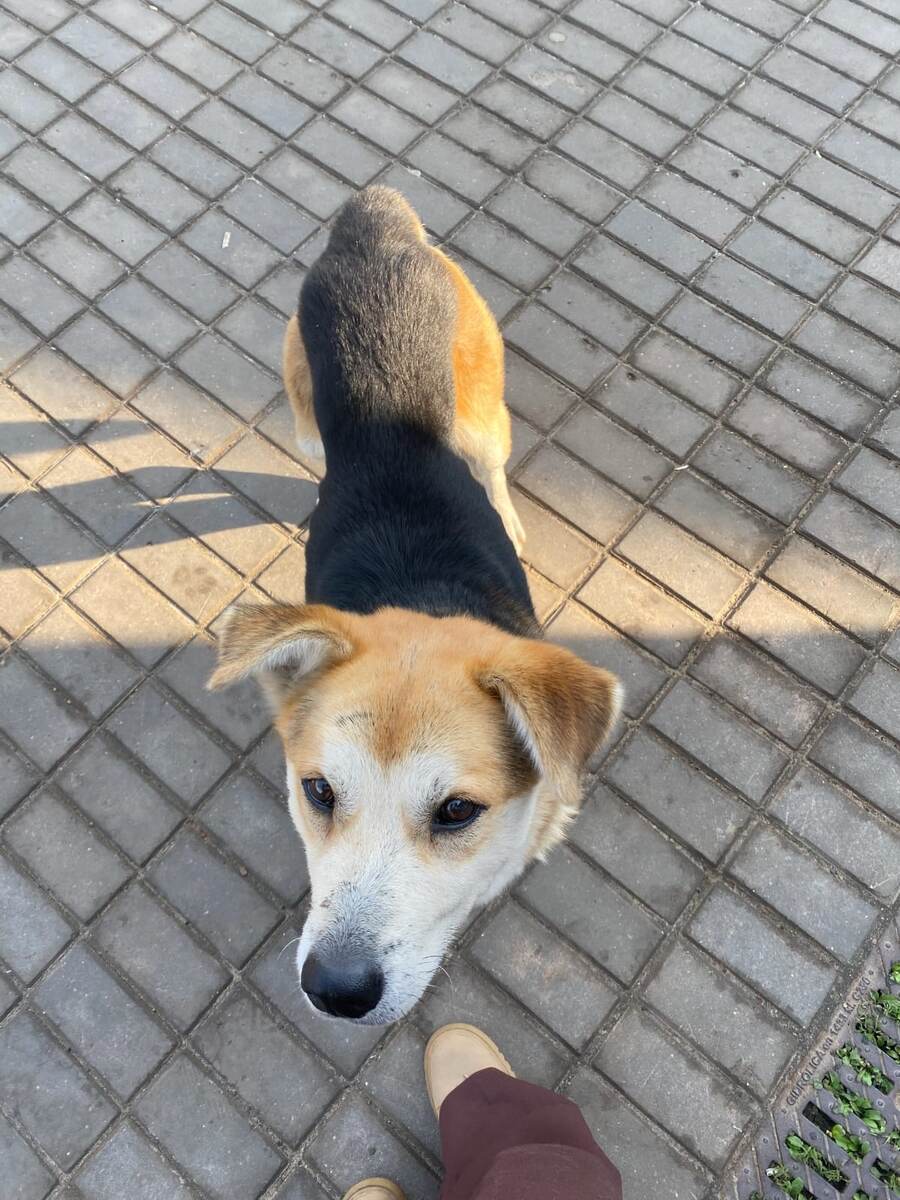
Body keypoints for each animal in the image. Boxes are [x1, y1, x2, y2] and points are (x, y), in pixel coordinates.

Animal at [210, 187, 622, 1024]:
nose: (334, 991)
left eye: (457, 812)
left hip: (484, 408)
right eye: (319, 791)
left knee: (491, 460)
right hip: (303, 403)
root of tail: (376, 223)